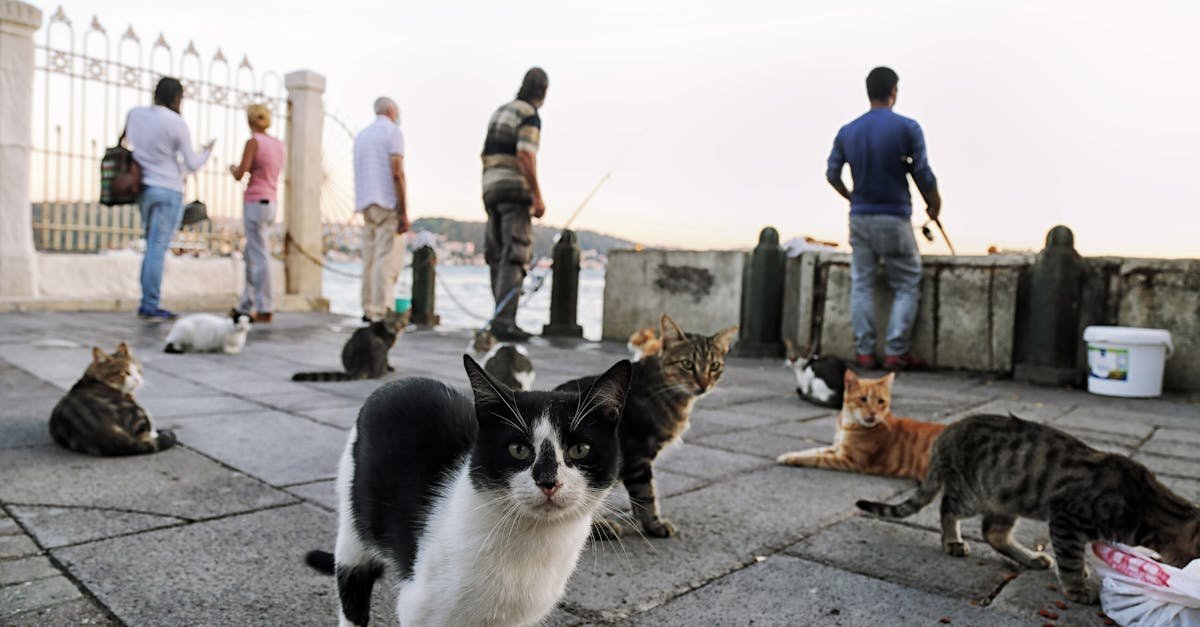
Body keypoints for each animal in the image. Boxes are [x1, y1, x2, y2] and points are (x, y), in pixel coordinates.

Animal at [304, 355, 633, 624]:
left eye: (580, 449)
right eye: (518, 449)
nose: (548, 481)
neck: (532, 542)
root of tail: (395, 383)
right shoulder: (418, 607)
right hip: (353, 525)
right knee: (353, 588)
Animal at [556, 312, 734, 535]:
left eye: (714, 366)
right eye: (687, 364)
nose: (704, 384)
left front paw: (638, 517)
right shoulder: (638, 456)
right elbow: (646, 493)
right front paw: (654, 524)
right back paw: (603, 526)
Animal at [777, 369, 945, 478]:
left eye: (880, 401)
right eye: (863, 399)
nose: (873, 413)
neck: (846, 425)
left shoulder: (849, 460)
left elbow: (815, 458)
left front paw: (792, 459)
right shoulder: (836, 448)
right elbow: (813, 450)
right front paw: (787, 455)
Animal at [859, 413, 1200, 602]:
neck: (1146, 503)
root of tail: (946, 433)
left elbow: (1075, 556)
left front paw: (1080, 572)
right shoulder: (1065, 518)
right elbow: (1071, 558)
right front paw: (1077, 587)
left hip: (1007, 499)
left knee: (993, 533)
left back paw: (1032, 558)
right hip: (972, 493)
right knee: (947, 508)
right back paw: (953, 540)